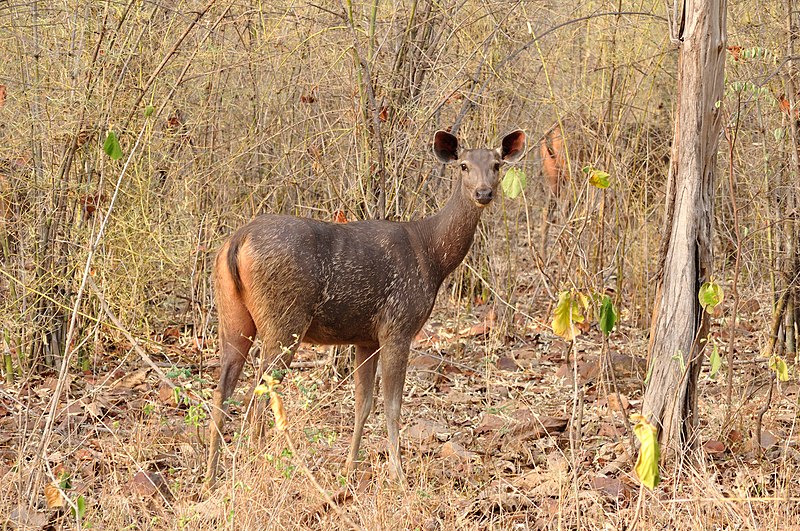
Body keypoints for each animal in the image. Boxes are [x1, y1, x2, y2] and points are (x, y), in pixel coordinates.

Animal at [206, 129, 528, 486]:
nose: (484, 192)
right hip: (284, 319)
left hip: (232, 315)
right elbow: (392, 405)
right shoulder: (398, 325)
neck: (432, 256)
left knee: (222, 391)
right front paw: (399, 475)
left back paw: (211, 479)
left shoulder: (365, 338)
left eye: (497, 164)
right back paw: (261, 470)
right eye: (463, 165)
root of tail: (236, 242)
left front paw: (350, 469)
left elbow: (363, 403)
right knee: (260, 393)